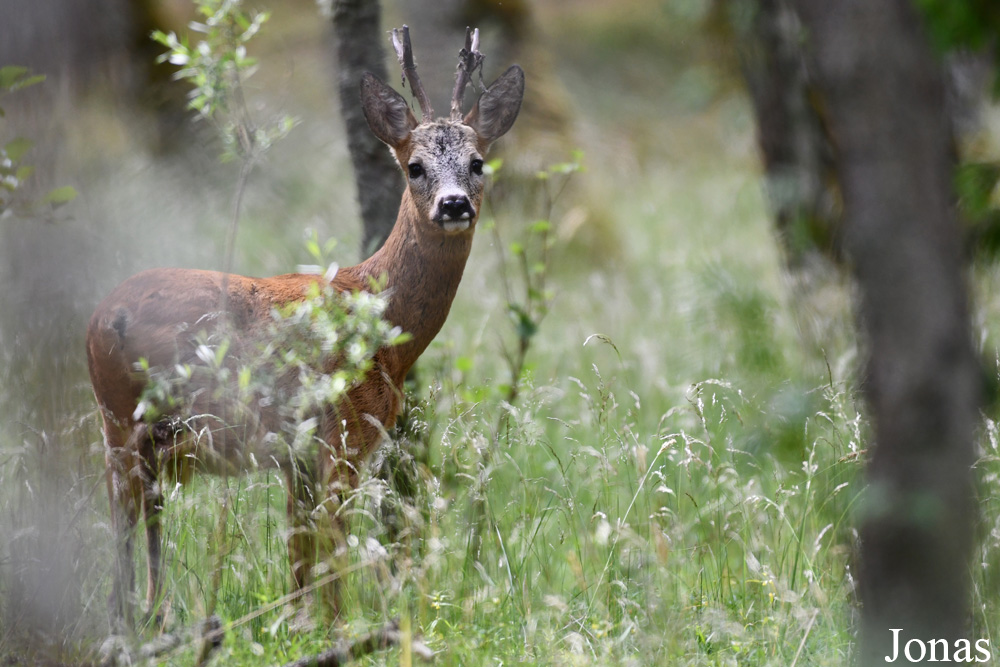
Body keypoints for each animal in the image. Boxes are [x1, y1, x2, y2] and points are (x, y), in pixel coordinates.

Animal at [86, 27, 524, 628]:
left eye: (479, 162)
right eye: (414, 166)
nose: (454, 204)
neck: (383, 331)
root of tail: (97, 319)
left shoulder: (297, 458)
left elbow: (299, 567)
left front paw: (292, 628)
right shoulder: (341, 435)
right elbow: (334, 565)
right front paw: (338, 633)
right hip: (120, 423)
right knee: (123, 546)